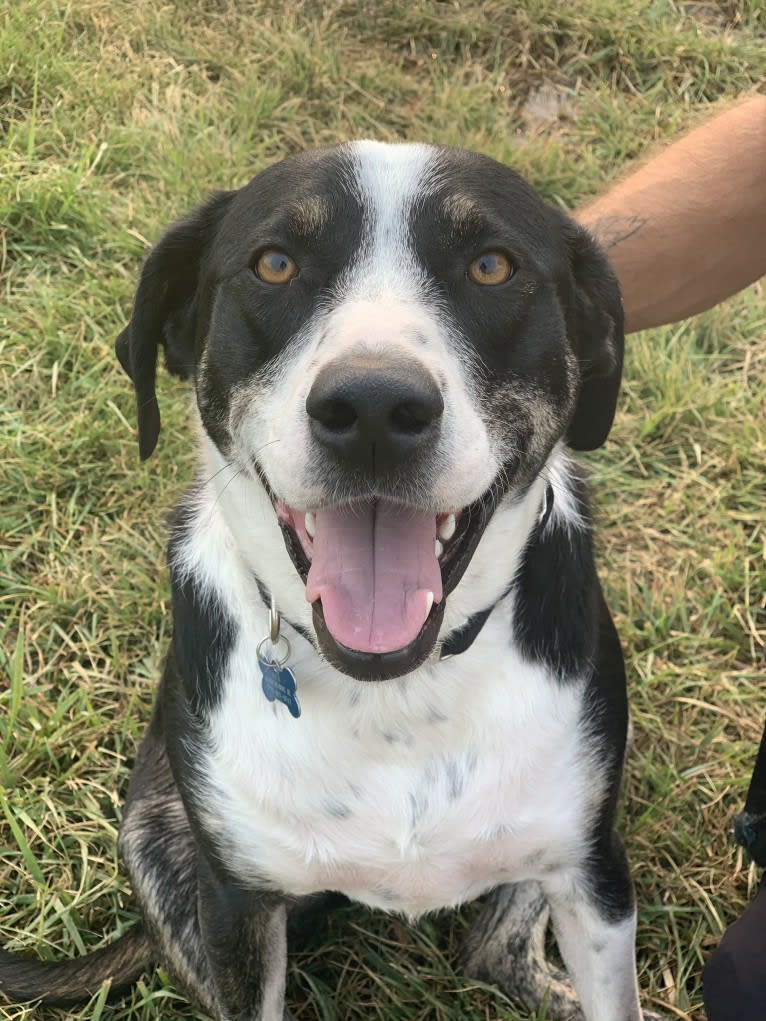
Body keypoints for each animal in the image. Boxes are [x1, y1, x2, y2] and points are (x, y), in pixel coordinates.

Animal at [0, 143, 665, 1021]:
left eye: (492, 266)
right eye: (274, 264)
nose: (375, 406)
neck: (398, 691)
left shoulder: (591, 869)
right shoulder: (235, 905)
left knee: (494, 948)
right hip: (155, 839)